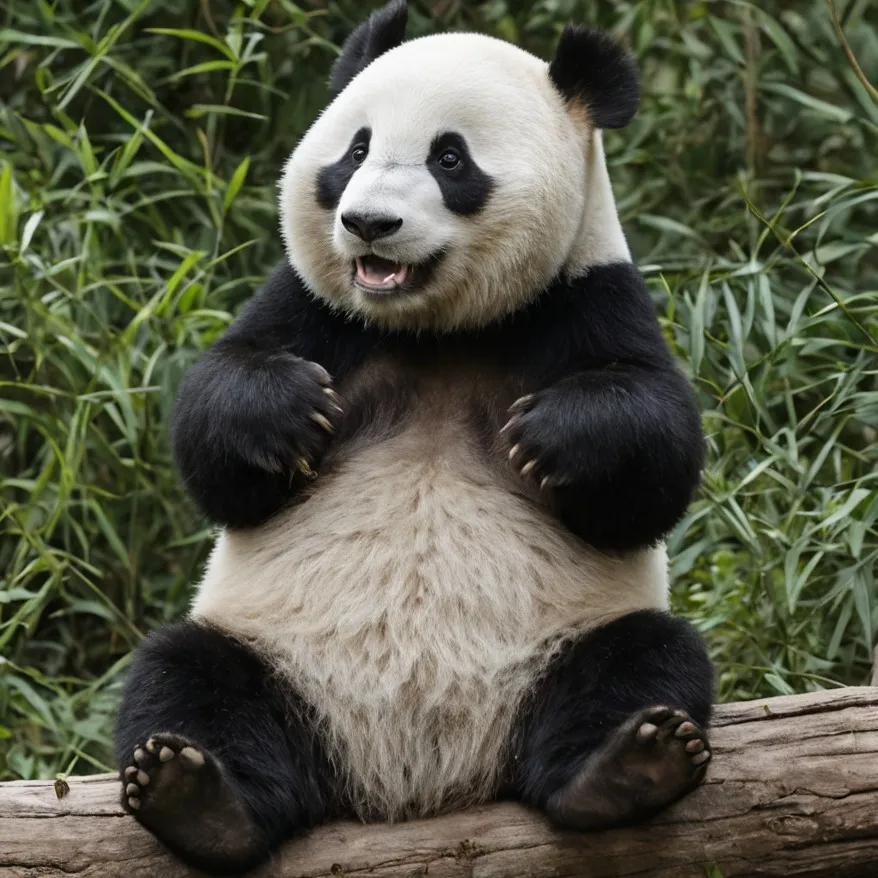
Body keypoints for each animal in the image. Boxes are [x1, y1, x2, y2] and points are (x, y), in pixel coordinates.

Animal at [115, 1, 713, 873]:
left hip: (561, 647)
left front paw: (553, 437)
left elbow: (657, 459)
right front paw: (289, 411)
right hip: (275, 657)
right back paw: (195, 796)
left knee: (643, 660)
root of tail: (408, 781)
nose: (369, 223)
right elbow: (213, 435)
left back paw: (627, 768)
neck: (436, 328)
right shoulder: (313, 307)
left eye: (450, 157)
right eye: (356, 149)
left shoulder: (587, 296)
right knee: (189, 678)